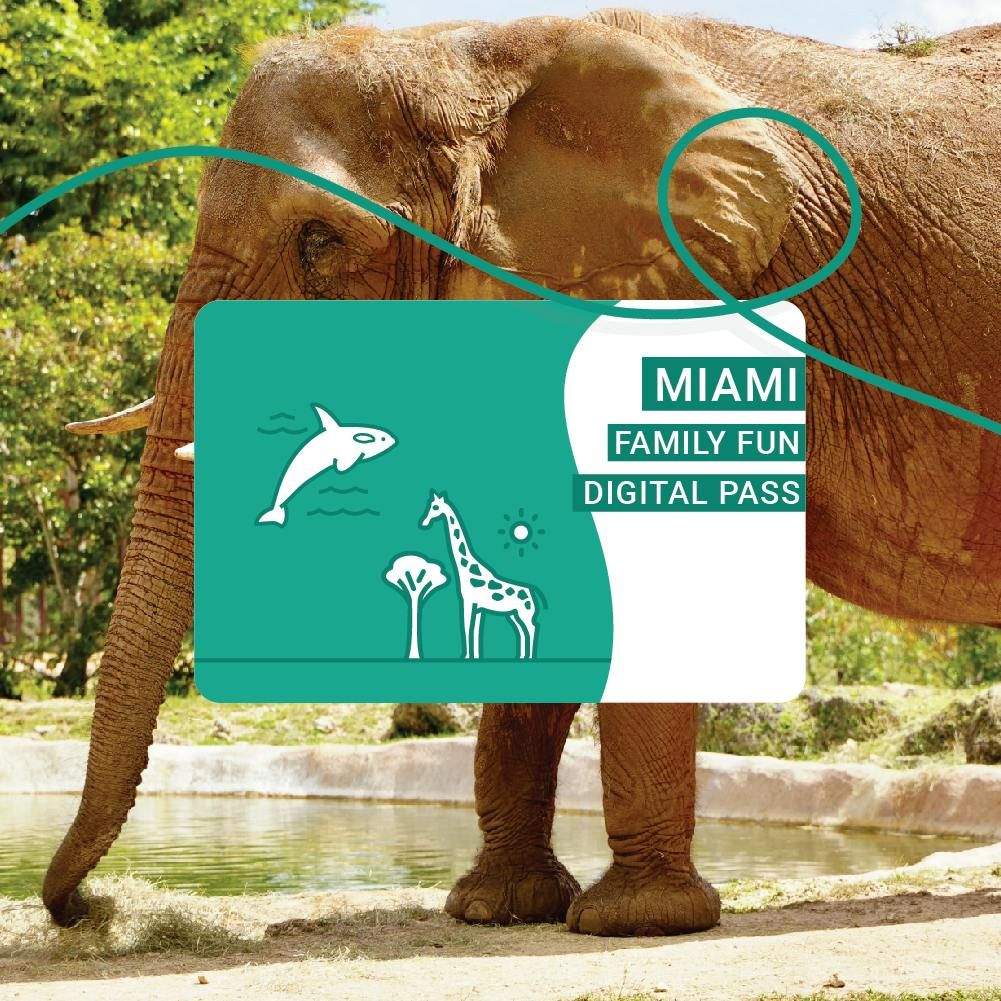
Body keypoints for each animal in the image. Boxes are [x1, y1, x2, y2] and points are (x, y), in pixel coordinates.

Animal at [420, 491, 542, 660]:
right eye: (430, 505)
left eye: (435, 507)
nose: (423, 523)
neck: (467, 568)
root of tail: (533, 591)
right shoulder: (478, 608)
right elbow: (475, 631)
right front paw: (475, 656)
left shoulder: (467, 602)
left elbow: (466, 628)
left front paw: (465, 656)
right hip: (514, 614)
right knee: (522, 631)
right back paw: (522, 656)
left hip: (525, 613)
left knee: (532, 628)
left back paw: (528, 657)